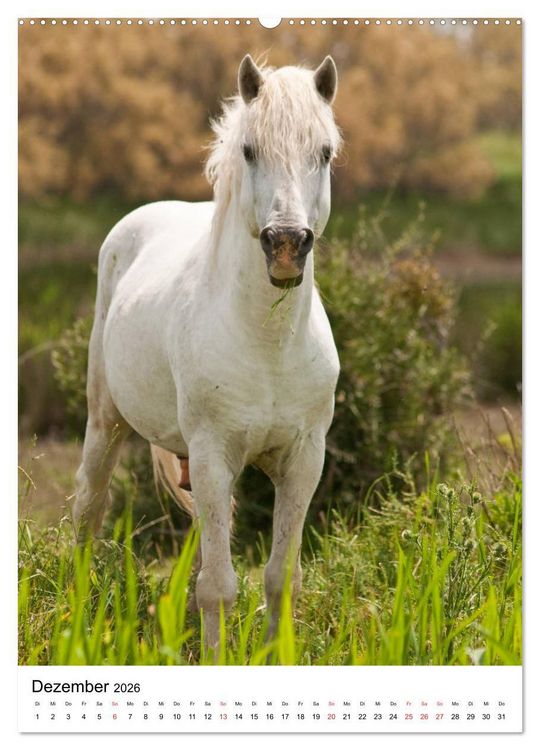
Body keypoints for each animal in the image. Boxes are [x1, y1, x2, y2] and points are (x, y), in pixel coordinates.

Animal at [73, 54, 342, 652]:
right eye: (250, 150)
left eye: (324, 152)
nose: (285, 246)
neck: (268, 345)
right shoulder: (213, 455)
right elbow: (219, 586)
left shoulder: (303, 460)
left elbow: (279, 578)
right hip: (106, 423)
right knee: (87, 513)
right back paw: (71, 619)